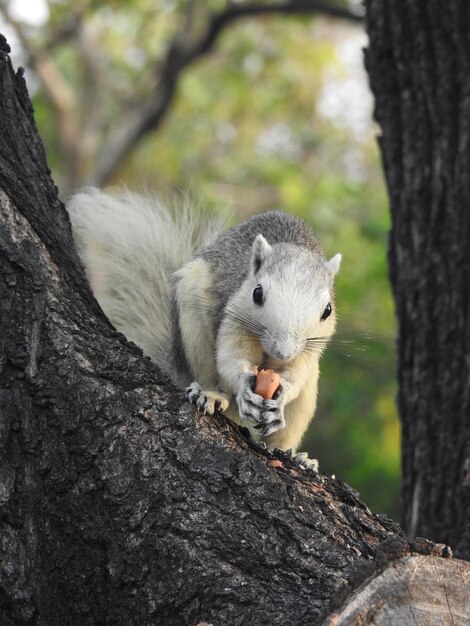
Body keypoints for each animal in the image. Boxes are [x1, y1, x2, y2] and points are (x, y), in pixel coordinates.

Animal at [68, 188, 342, 466]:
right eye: (257, 293)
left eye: (327, 310)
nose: (282, 351)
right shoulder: (234, 318)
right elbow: (231, 358)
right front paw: (244, 384)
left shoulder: (310, 348)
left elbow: (297, 373)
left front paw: (283, 392)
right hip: (193, 318)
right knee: (210, 375)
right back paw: (211, 395)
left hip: (308, 394)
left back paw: (297, 457)